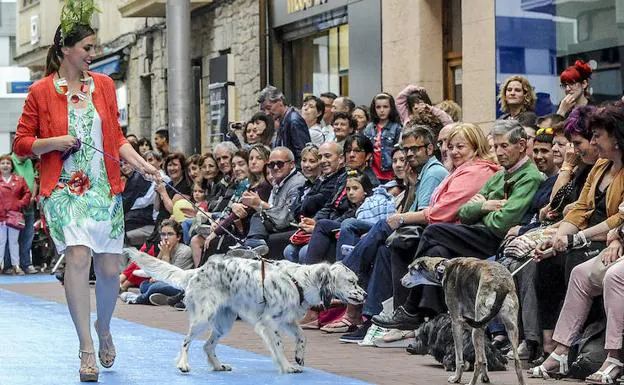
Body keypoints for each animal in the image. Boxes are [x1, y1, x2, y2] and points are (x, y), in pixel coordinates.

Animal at [127, 248, 368, 374]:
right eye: (352, 281)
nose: (365, 295)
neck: (299, 281)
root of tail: (199, 270)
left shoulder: (287, 320)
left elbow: (302, 337)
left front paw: (299, 358)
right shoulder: (269, 323)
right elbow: (279, 346)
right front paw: (287, 366)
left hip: (224, 323)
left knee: (207, 345)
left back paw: (218, 365)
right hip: (203, 318)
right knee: (186, 342)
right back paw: (183, 364)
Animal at [400, 256, 528, 384]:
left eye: (410, 270)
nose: (401, 280)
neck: (442, 268)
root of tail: (501, 285)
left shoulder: (456, 322)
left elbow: (460, 359)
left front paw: (456, 378)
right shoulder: (474, 323)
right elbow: (484, 356)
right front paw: (485, 377)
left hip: (477, 329)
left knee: (478, 361)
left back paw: (471, 382)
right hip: (509, 328)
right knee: (517, 363)